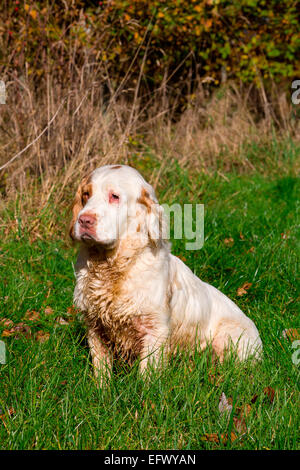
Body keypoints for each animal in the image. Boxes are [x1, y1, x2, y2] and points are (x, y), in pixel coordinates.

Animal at [69, 164, 262, 382]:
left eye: (114, 196)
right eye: (86, 194)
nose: (84, 220)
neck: (112, 266)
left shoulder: (155, 329)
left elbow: (147, 374)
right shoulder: (95, 326)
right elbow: (102, 370)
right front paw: (103, 388)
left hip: (232, 340)